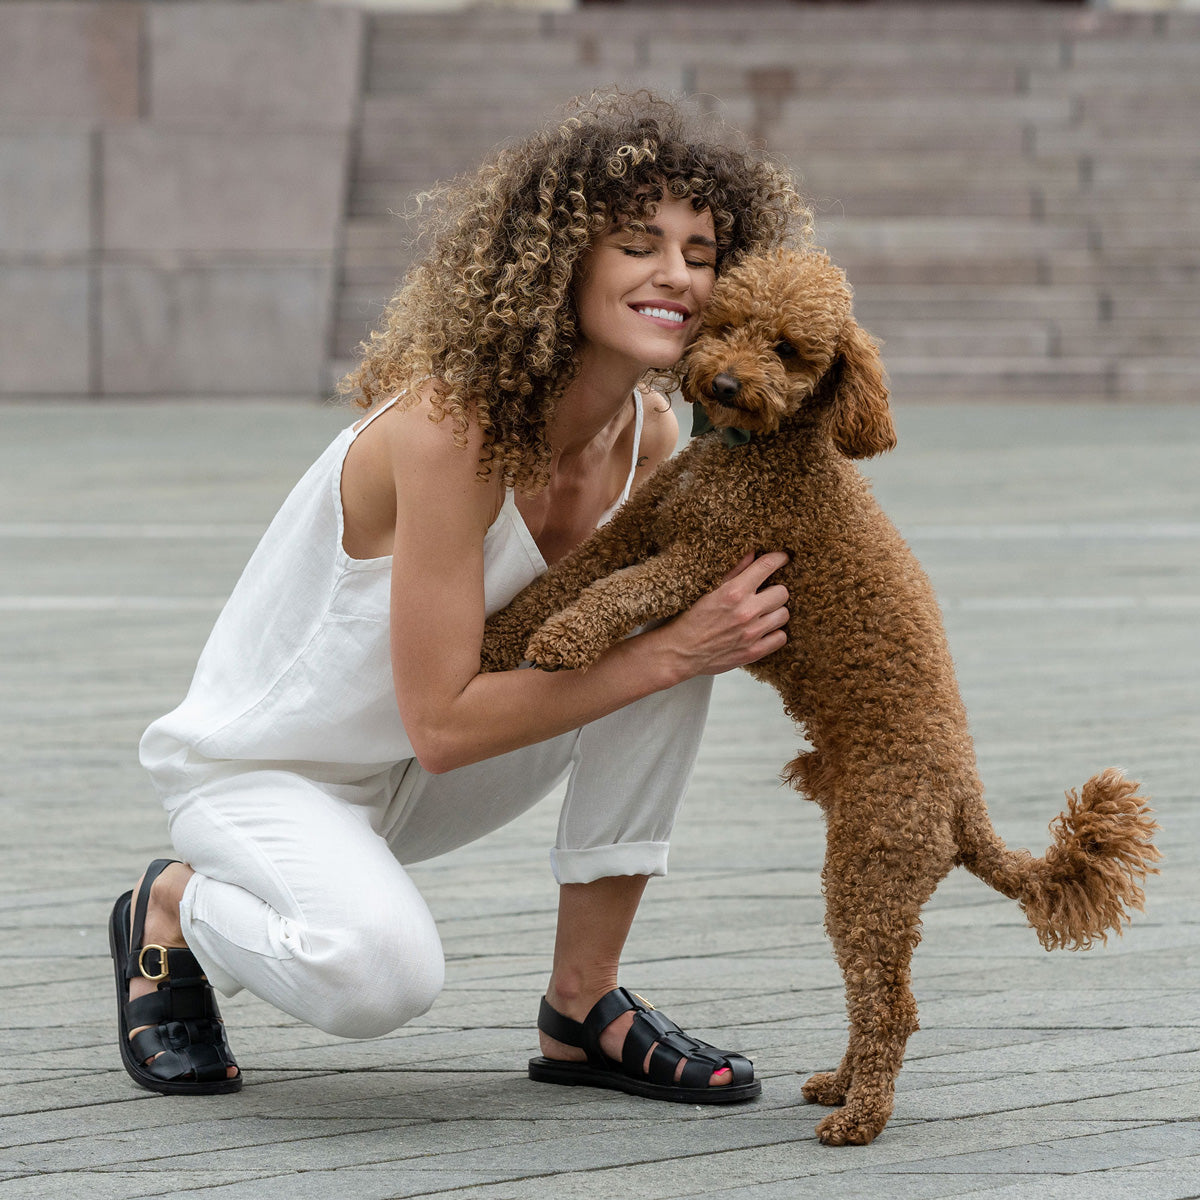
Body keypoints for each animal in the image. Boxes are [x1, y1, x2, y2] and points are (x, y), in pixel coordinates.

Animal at [480, 243, 1161, 1142]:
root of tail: (965, 809)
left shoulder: (706, 559)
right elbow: (568, 574)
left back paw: (860, 1119)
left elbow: (617, 592)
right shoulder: (644, 520)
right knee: (877, 998)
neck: (752, 452)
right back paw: (838, 1087)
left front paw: (563, 642)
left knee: (889, 1004)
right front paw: (499, 637)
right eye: (728, 323)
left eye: (791, 350)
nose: (724, 382)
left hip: (869, 870)